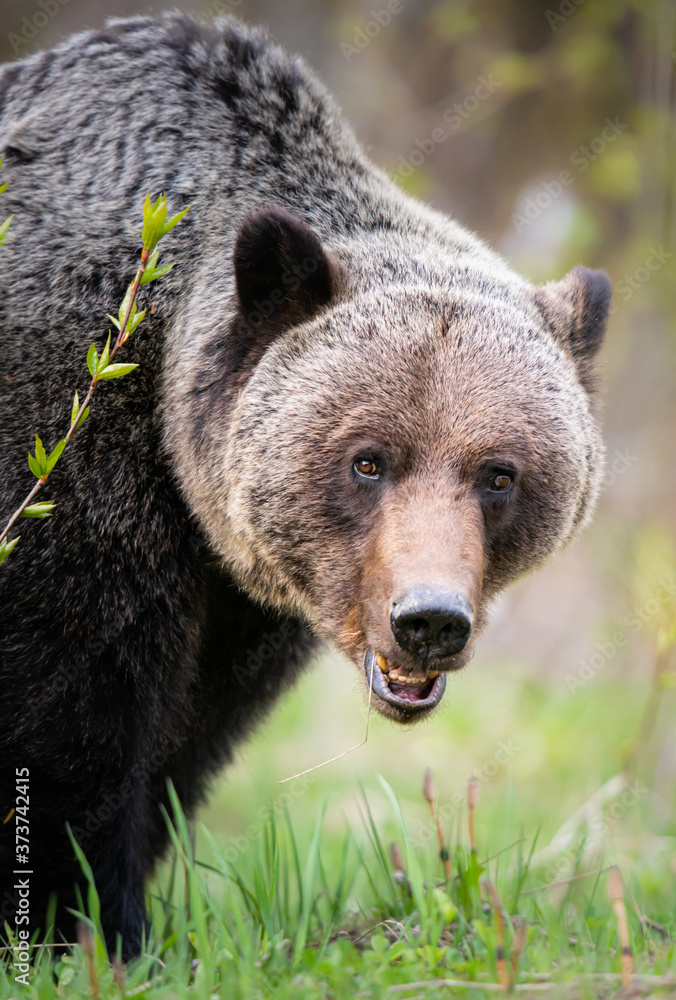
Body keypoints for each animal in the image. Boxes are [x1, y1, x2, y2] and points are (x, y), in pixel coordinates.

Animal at [0, 11, 608, 956]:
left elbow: (187, 736)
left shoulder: (248, 599)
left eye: (498, 475)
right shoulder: (68, 468)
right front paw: (93, 927)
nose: (429, 620)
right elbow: (71, 727)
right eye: (368, 459)